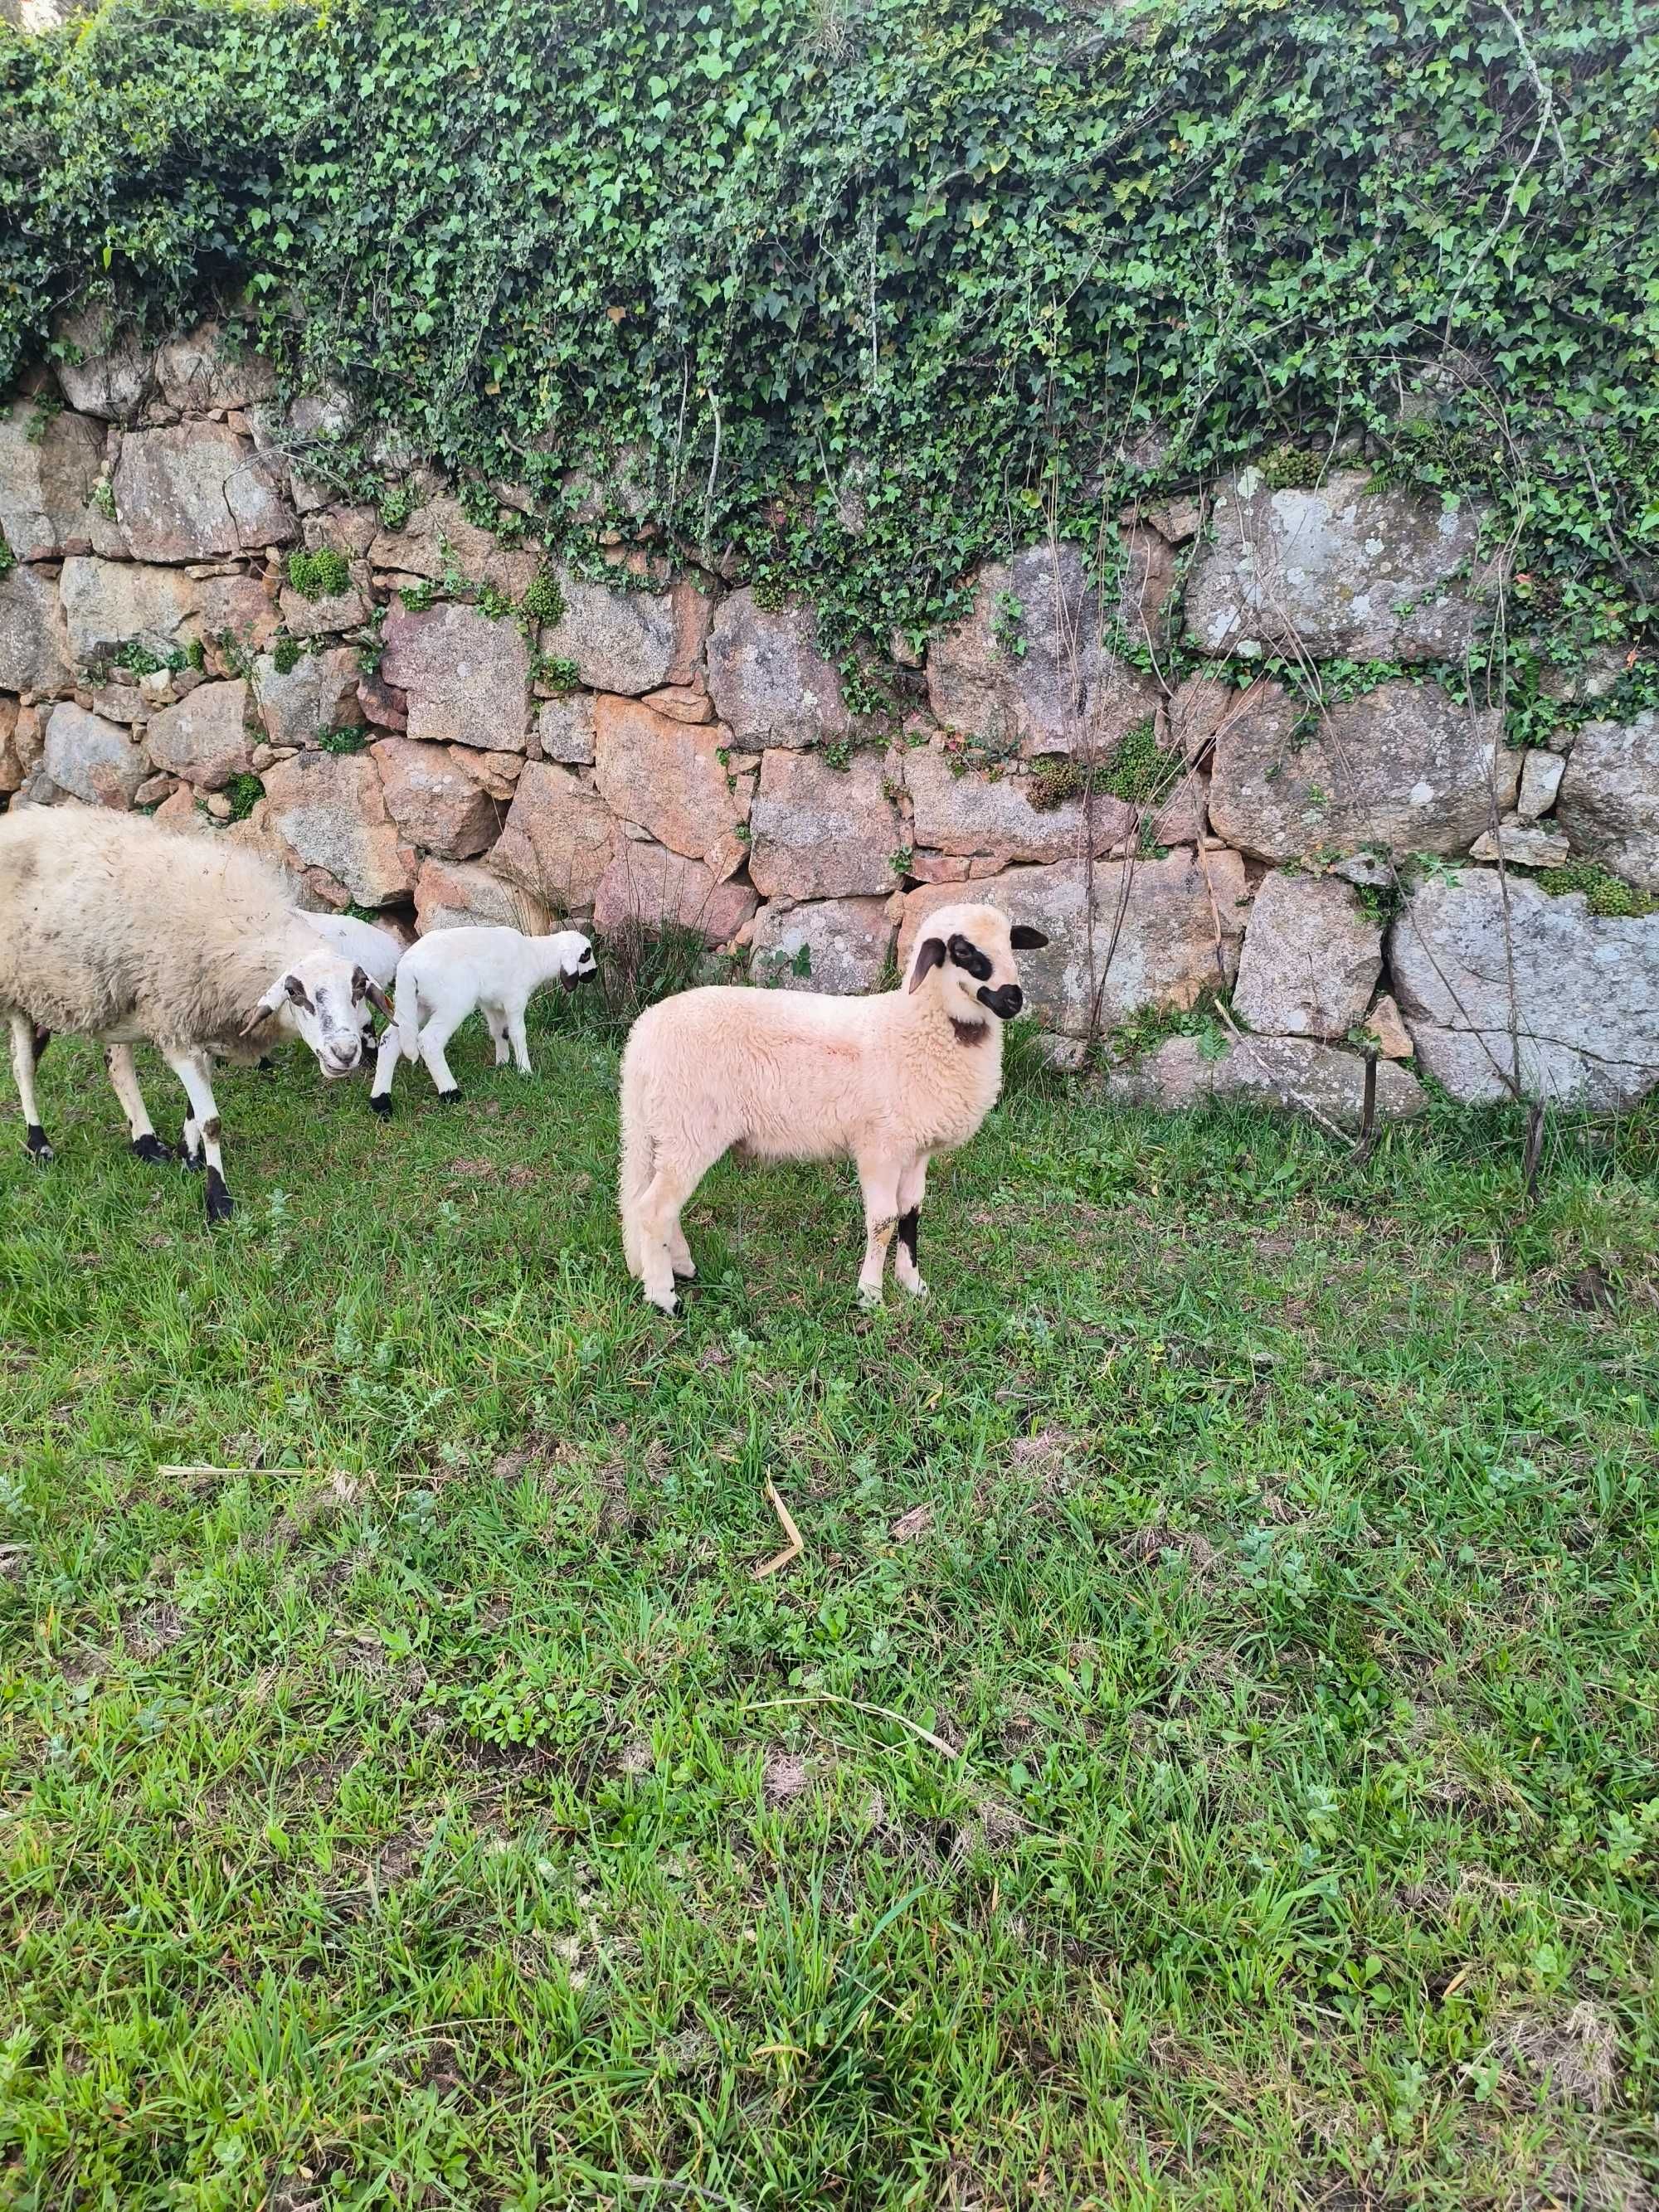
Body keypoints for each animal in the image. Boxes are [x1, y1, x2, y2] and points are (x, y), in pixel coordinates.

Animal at [0, 805, 393, 1221]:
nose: (345, 1053)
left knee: (117, 1065)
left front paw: (189, 1156)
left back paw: (146, 1143)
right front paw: (218, 1198)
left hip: (112, 998)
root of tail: (18, 819)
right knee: (23, 1067)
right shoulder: (177, 1027)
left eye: (358, 990)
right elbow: (212, 1122)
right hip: (16, 991)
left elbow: (195, 1108)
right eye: (295, 993)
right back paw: (38, 1142)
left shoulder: (200, 1026)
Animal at [369, 924, 597, 1115]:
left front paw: (502, 1064)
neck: (537, 956)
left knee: (390, 1040)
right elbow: (518, 1033)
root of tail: (408, 967)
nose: (594, 974)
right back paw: (450, 1093)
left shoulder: (492, 1004)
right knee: (429, 1041)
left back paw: (381, 1102)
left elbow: (500, 1032)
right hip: (454, 1002)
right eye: (586, 955)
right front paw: (525, 1072)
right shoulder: (515, 999)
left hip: (415, 1004)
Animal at [619, 897, 1057, 1309]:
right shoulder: (880, 1147)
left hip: (666, 1131)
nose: (1013, 1000)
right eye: (963, 950)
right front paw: (870, 1295)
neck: (918, 1026)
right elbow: (883, 1220)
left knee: (654, 1202)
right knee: (653, 1210)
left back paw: (681, 1266)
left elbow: (911, 1214)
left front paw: (913, 1286)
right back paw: (663, 1297)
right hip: (689, 1128)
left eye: (1011, 943)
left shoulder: (916, 1149)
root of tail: (641, 1037)